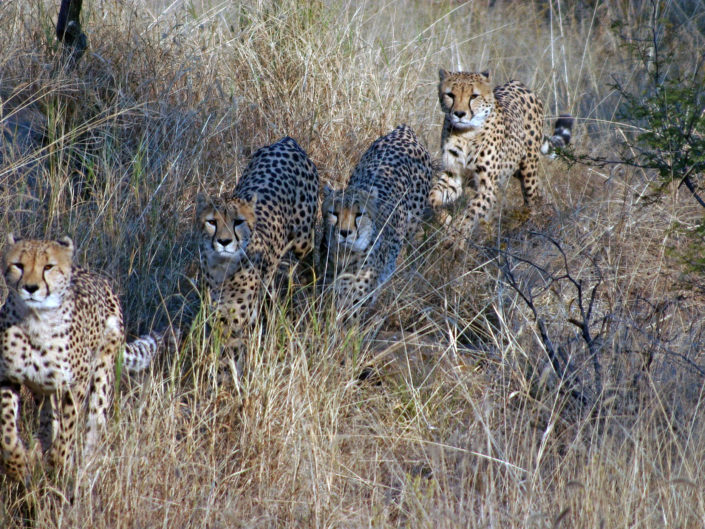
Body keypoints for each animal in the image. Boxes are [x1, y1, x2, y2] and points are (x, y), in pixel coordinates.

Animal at [0, 234, 172, 483]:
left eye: (48, 267)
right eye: (18, 265)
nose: (31, 288)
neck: (36, 321)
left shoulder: (76, 383)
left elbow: (68, 429)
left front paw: (59, 465)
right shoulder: (8, 377)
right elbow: (7, 430)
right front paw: (18, 466)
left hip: (102, 372)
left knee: (93, 423)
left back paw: (86, 468)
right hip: (44, 389)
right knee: (48, 417)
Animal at [196, 136, 319, 354]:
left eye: (238, 222)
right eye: (212, 222)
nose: (224, 241)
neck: (221, 267)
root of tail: (286, 141)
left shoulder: (234, 322)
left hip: (303, 240)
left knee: (310, 260)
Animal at [320, 124, 433, 311]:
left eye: (359, 214)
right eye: (334, 213)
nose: (345, 233)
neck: (344, 255)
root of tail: (404, 131)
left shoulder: (355, 302)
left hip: (411, 228)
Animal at [429, 69, 574, 236]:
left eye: (474, 96)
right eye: (450, 95)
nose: (459, 114)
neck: (466, 134)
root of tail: (518, 83)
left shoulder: (488, 187)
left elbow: (470, 213)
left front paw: (455, 235)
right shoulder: (454, 175)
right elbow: (432, 197)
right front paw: (445, 219)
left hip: (528, 169)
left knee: (533, 198)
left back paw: (535, 225)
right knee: (539, 189)